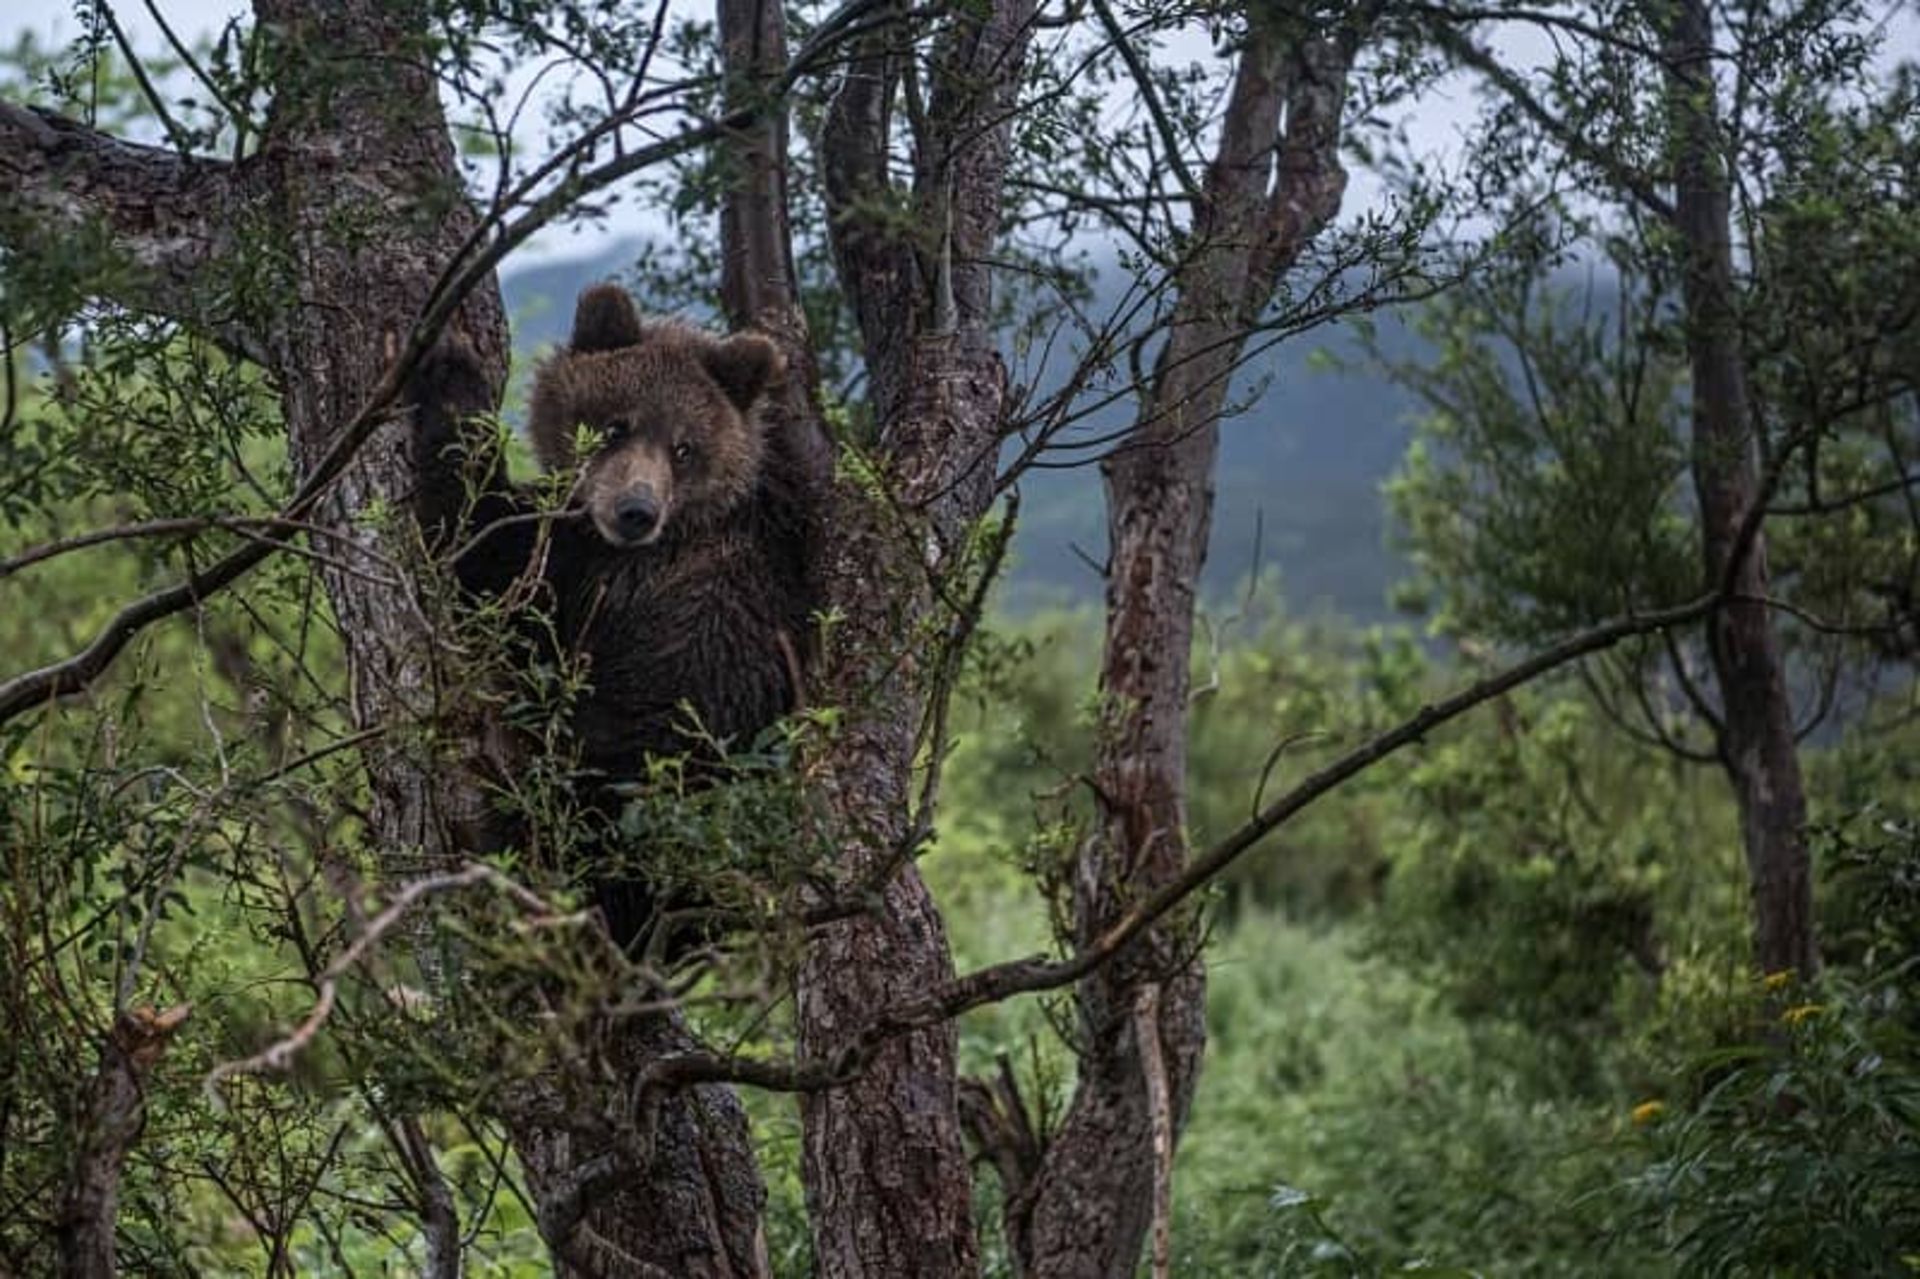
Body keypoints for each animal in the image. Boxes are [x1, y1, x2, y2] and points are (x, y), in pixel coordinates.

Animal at [405, 284, 825, 952]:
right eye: (614, 425)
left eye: (684, 447)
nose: (636, 510)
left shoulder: (597, 577)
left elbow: (482, 547)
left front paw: (449, 367)